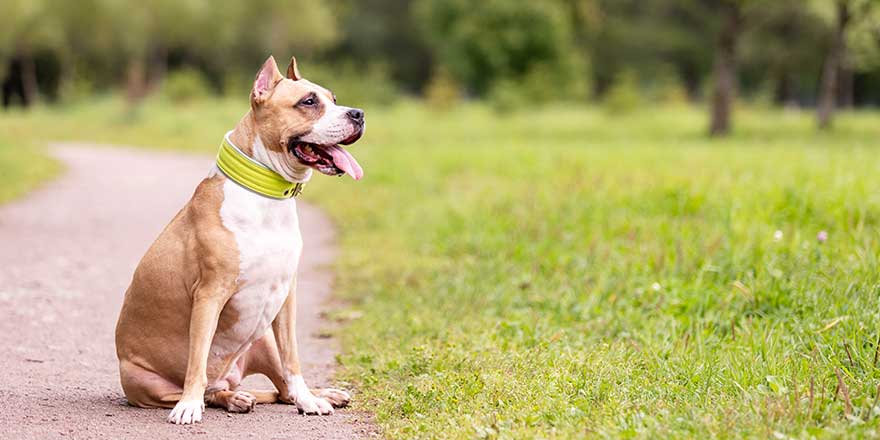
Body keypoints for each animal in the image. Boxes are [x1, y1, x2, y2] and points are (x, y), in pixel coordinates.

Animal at [116, 55, 364, 422]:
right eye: (308, 102)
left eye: (334, 99)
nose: (358, 114)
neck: (268, 195)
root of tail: (231, 378)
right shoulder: (209, 294)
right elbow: (197, 362)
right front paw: (188, 406)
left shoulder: (286, 296)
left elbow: (293, 360)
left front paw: (309, 400)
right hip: (145, 382)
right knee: (211, 389)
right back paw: (227, 398)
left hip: (264, 340)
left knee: (282, 388)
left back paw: (315, 394)